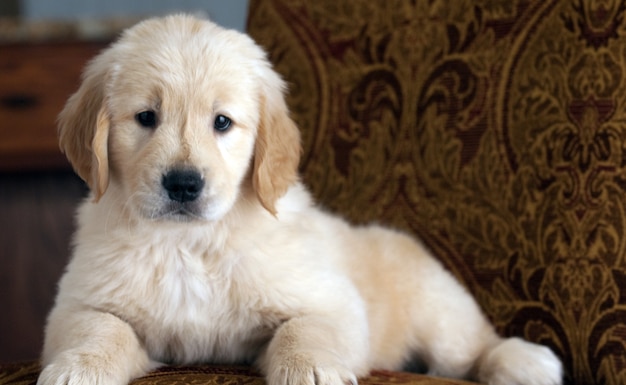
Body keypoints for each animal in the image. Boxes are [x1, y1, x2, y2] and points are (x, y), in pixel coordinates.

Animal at [39, 14, 564, 384]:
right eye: (146, 117)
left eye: (222, 122)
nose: (184, 184)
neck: (190, 243)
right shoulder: (78, 304)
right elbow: (98, 329)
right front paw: (78, 368)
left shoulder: (331, 302)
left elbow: (304, 329)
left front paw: (309, 369)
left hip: (439, 311)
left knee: (474, 346)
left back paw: (525, 361)